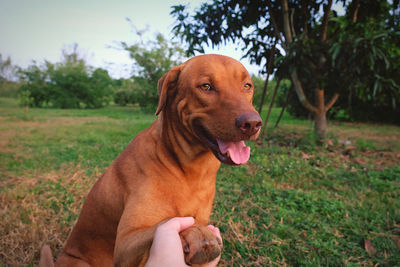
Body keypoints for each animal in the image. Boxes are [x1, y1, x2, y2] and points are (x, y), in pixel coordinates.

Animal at [39, 55, 262, 267]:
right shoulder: (125, 243)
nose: (252, 123)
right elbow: (166, 223)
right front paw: (197, 234)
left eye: (247, 86)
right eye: (206, 86)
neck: (191, 170)